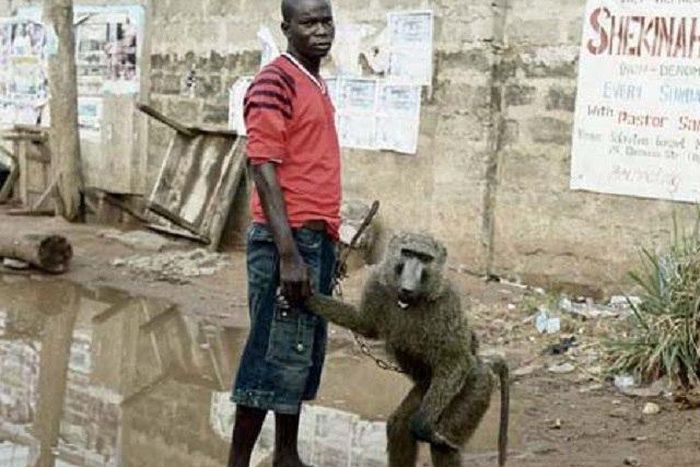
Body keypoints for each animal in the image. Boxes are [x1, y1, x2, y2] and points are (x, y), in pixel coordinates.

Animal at [305, 232, 509, 467]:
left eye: (424, 259)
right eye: (408, 253)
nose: (407, 287)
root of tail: (483, 363)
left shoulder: (448, 301)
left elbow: (455, 359)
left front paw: (422, 425)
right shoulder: (376, 282)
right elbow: (364, 324)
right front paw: (305, 298)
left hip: (474, 385)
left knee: (442, 444)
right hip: (425, 388)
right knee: (398, 427)